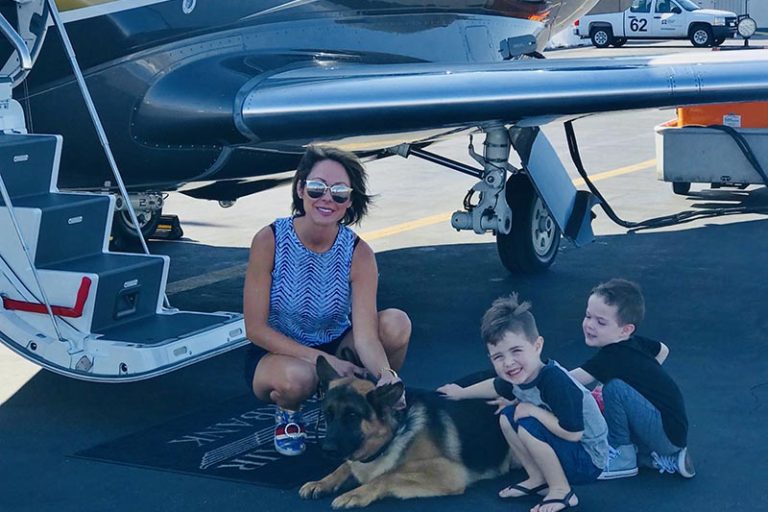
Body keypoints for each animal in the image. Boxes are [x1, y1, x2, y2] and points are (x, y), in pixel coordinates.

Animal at [298, 356, 516, 508]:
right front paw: (322, 482)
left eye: (352, 416)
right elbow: (345, 466)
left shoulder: (448, 472)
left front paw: (356, 493)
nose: (326, 449)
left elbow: (388, 475)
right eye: (328, 415)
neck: (395, 431)